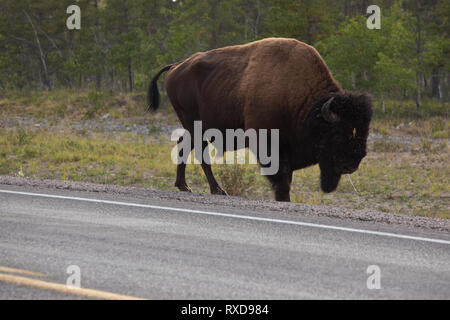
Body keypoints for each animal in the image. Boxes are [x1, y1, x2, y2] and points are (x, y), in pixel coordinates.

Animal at [148, 37, 372, 201]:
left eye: (364, 131)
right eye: (338, 133)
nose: (352, 164)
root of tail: (176, 66)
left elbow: (287, 177)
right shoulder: (271, 146)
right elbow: (281, 179)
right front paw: (283, 198)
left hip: (197, 128)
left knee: (184, 145)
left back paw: (185, 186)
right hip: (196, 126)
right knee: (200, 154)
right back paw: (217, 190)